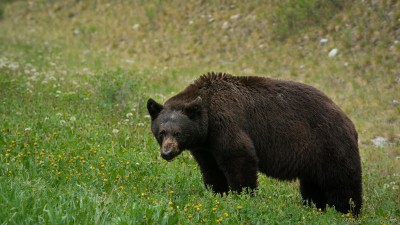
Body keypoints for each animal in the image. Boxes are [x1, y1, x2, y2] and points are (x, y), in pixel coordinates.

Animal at [147, 73, 362, 215]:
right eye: (161, 132)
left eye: (178, 133)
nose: (167, 152)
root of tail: (348, 120)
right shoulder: (205, 146)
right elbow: (211, 169)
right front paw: (217, 193)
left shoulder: (227, 123)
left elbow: (240, 157)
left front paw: (242, 196)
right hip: (312, 158)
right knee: (313, 184)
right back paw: (315, 207)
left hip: (329, 145)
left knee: (342, 181)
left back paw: (347, 211)